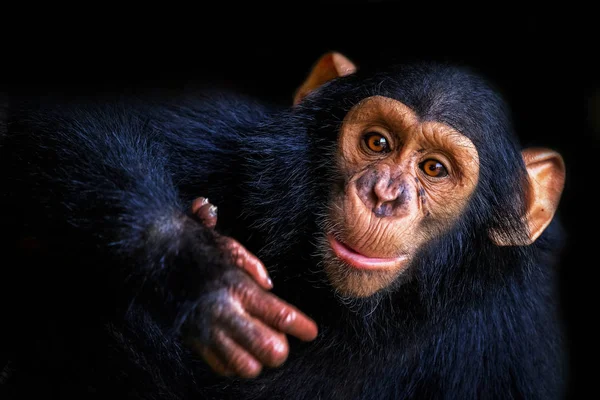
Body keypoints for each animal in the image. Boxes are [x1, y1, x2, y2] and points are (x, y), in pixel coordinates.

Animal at [0, 53, 564, 400]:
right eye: (378, 142)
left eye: (434, 169)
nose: (384, 196)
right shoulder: (234, 139)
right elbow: (55, 118)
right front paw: (202, 272)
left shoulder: (515, 335)